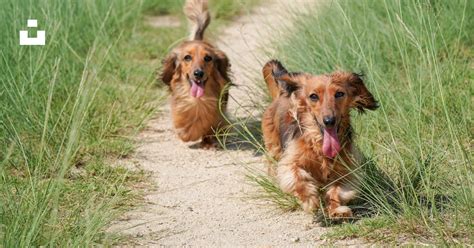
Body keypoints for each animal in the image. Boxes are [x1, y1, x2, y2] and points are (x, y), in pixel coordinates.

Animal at [161, 0, 231, 147]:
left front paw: (208, 141)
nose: (198, 73)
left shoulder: (217, 113)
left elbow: (211, 125)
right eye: (187, 57)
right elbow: (184, 128)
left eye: (208, 58)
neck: (198, 101)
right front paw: (187, 133)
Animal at [262, 59, 380, 217]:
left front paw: (336, 209)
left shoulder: (345, 171)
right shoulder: (290, 162)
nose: (329, 121)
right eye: (313, 96)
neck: (319, 145)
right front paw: (309, 199)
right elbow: (298, 178)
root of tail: (281, 93)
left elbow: (337, 190)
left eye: (339, 94)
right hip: (274, 148)